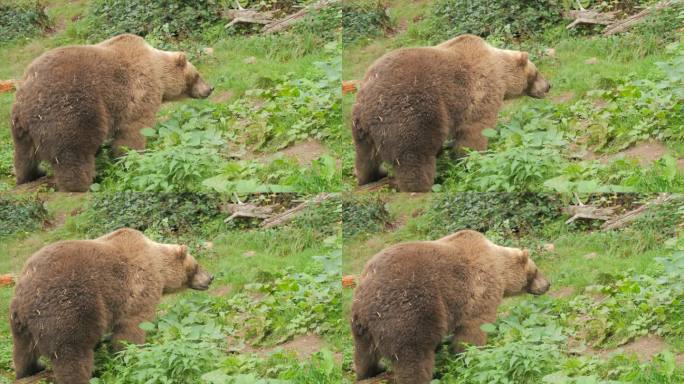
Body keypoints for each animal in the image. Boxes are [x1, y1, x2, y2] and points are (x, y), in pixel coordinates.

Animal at [9, 228, 212, 384]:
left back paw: (30, 370)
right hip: (67, 307)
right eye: (196, 265)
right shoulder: (138, 288)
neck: (160, 269)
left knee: (23, 351)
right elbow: (132, 327)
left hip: (19, 321)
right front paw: (131, 355)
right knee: (72, 354)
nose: (211, 277)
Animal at [10, 33, 214, 192]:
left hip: (20, 125)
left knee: (24, 154)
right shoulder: (138, 93)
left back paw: (30, 175)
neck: (159, 74)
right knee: (73, 152)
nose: (209, 89)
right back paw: (81, 185)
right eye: (197, 75)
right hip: (70, 109)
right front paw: (132, 158)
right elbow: (134, 131)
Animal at [352, 33, 552, 192]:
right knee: (413, 157)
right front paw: (472, 160)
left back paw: (372, 176)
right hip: (410, 112)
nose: (548, 86)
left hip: (361, 127)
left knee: (365, 157)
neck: (501, 72)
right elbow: (475, 132)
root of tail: (367, 99)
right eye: (536, 72)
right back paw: (421, 187)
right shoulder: (480, 92)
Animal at [352, 230, 552, 382]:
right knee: (413, 356)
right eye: (535, 270)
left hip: (361, 322)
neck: (501, 270)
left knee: (364, 353)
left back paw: (370, 372)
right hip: (408, 309)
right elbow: (474, 329)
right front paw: (472, 355)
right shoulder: (479, 291)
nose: (548, 284)